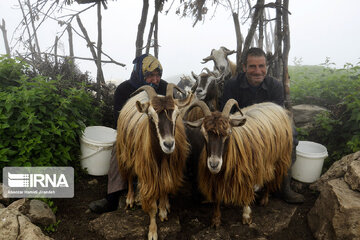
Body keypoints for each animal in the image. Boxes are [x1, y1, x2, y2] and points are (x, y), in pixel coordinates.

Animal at [116, 83, 193, 240]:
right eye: (150, 116)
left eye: (177, 114)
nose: (168, 144)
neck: (161, 158)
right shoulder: (148, 176)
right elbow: (151, 207)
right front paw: (152, 231)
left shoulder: (167, 171)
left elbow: (164, 188)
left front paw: (163, 210)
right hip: (125, 154)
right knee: (129, 176)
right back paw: (130, 199)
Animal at [183, 100, 292, 228]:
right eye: (203, 133)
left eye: (229, 133)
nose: (214, 164)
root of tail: (276, 106)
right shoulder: (216, 179)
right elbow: (217, 196)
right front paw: (216, 220)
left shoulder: (248, 173)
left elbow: (246, 193)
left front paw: (246, 216)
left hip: (278, 158)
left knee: (271, 177)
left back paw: (264, 199)